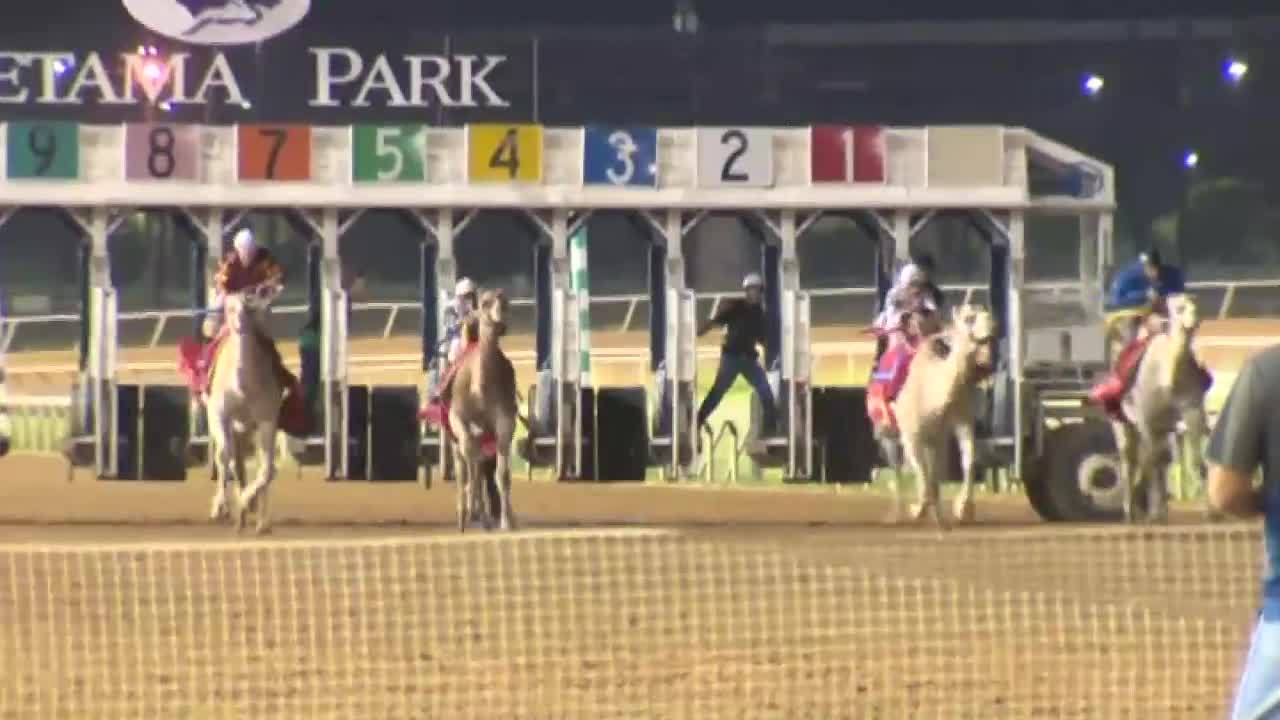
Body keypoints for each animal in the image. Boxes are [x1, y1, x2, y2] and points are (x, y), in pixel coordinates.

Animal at [206, 285, 284, 534]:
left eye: (250, 306)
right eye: (228, 306)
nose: (239, 324)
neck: (243, 388)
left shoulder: (267, 419)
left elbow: (268, 469)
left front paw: (248, 502)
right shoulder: (219, 413)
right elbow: (223, 456)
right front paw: (219, 507)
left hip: (249, 428)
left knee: (252, 465)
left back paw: (258, 522)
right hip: (233, 426)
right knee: (232, 460)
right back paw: (236, 516)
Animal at [444, 289, 519, 532]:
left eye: (506, 302)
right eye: (485, 302)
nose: (501, 325)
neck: (480, 388)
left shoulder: (505, 420)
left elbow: (502, 473)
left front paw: (506, 521)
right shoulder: (458, 417)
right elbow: (470, 462)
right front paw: (470, 513)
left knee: (480, 464)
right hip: (454, 435)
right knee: (464, 466)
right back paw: (466, 514)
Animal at [888, 304, 996, 529]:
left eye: (986, 313)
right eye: (968, 318)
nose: (991, 326)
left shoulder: (951, 427)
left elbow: (967, 459)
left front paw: (962, 509)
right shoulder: (912, 434)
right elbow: (922, 471)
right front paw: (918, 511)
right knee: (898, 467)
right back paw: (898, 512)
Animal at [1110, 294, 1212, 523]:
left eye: (1196, 304)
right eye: (1179, 308)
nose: (1194, 319)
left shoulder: (1192, 411)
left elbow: (1197, 461)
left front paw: (1211, 512)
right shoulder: (1146, 417)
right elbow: (1153, 461)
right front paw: (1155, 514)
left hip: (1164, 426)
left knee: (1158, 458)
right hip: (1123, 424)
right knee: (1131, 460)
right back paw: (1131, 513)